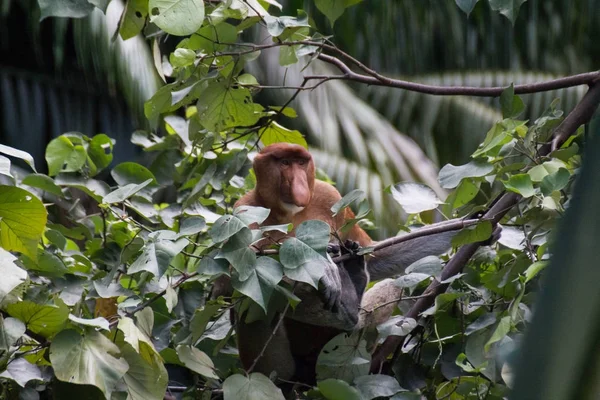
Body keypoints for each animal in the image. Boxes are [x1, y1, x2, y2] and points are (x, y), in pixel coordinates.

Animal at [216, 144, 454, 384]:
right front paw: (323, 267)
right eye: (284, 163)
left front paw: (462, 225)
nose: (299, 186)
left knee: (390, 286)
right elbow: (236, 278)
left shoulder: (328, 195)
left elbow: (375, 254)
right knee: (253, 305)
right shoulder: (244, 211)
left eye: (300, 163)